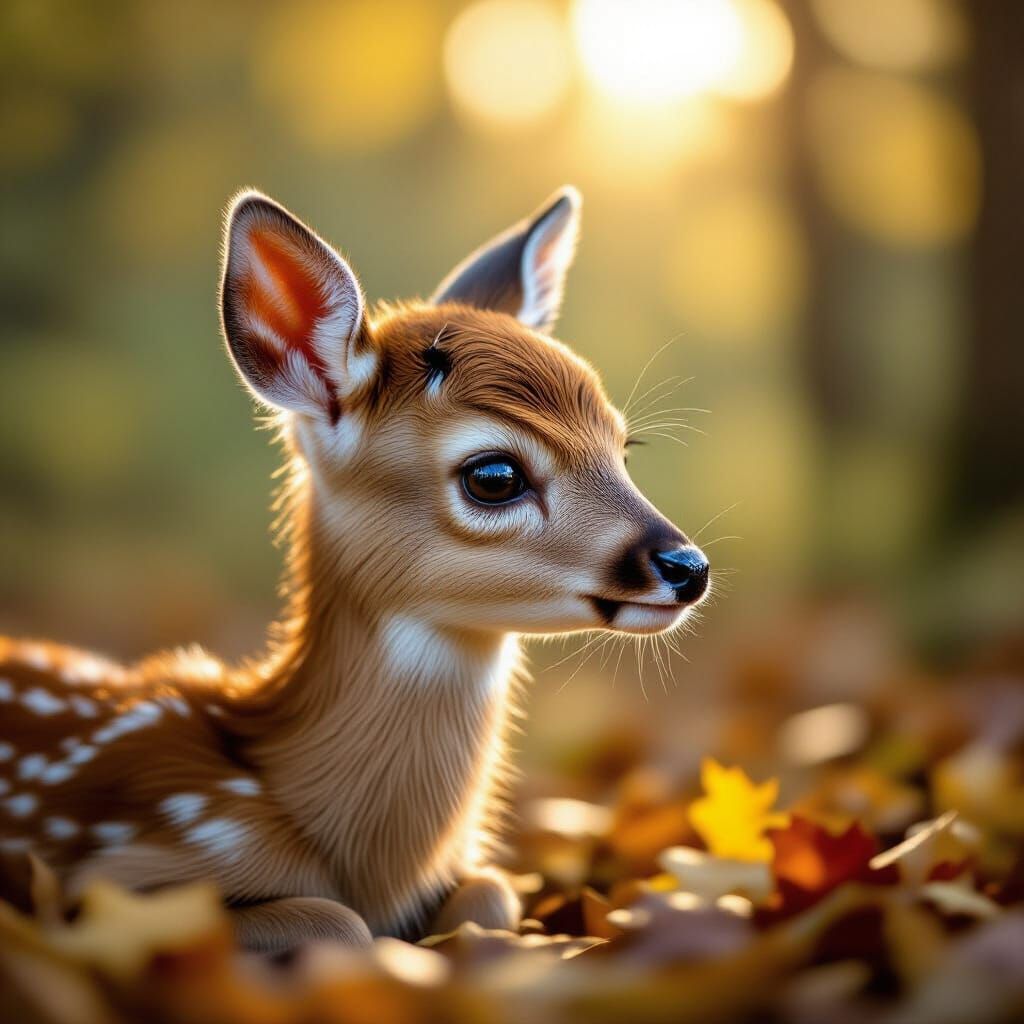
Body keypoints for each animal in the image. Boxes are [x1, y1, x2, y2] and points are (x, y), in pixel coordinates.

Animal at [0, 187, 710, 952]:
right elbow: (335, 922)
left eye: (623, 447)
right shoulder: (108, 884)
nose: (688, 567)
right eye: (494, 475)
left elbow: (490, 894)